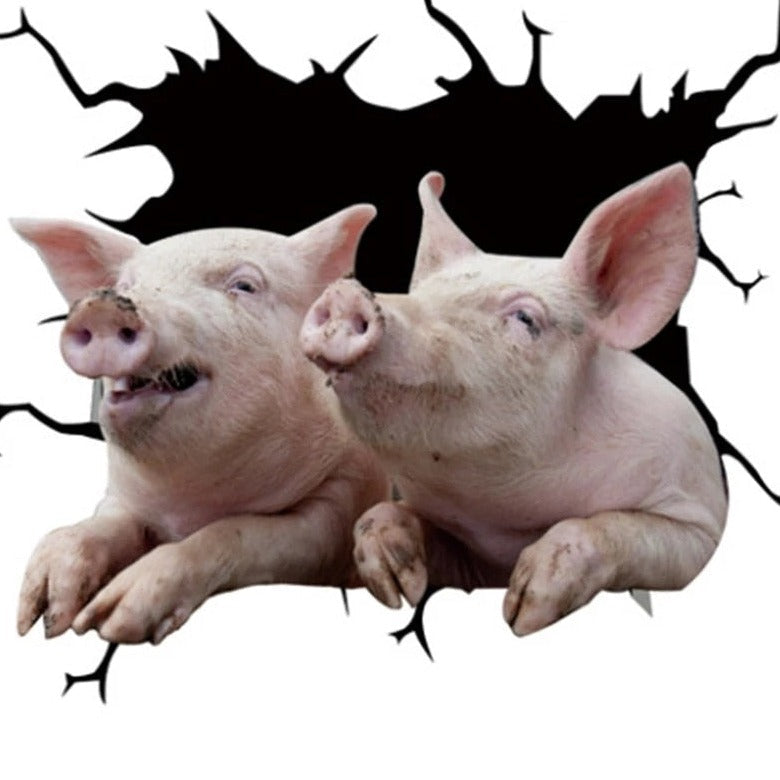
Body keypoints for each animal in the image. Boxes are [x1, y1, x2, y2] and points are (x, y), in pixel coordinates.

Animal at [12, 208, 388, 645]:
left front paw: (108, 621)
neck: (187, 502)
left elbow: (239, 534)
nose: (104, 306)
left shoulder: (341, 504)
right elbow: (100, 526)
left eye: (244, 285)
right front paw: (41, 618)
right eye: (125, 286)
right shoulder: (121, 495)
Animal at [300, 164, 728, 637]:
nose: (346, 294)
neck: (506, 522)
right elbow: (376, 517)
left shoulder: (699, 521)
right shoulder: (471, 562)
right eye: (423, 296)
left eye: (525, 318)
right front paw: (398, 589)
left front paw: (521, 612)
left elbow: (615, 529)